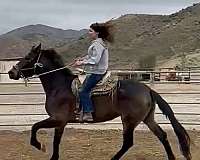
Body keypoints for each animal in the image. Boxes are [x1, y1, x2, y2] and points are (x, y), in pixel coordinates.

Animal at [7, 43, 191, 160]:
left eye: (28, 57)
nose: (11, 72)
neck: (59, 86)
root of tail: (148, 89)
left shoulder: (57, 119)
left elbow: (35, 128)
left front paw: (40, 146)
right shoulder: (61, 122)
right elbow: (55, 140)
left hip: (129, 120)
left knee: (128, 142)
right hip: (147, 118)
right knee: (162, 135)